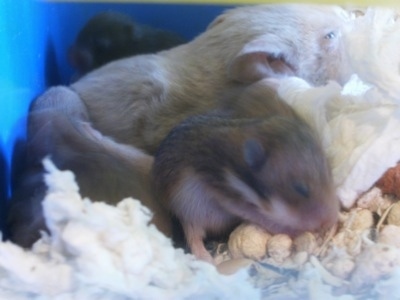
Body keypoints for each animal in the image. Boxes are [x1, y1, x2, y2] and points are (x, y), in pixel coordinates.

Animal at [152, 80, 340, 262]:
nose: (333, 220)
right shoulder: (229, 197)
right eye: (300, 189)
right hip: (187, 210)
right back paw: (207, 260)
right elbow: (265, 219)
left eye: (329, 172)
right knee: (194, 237)